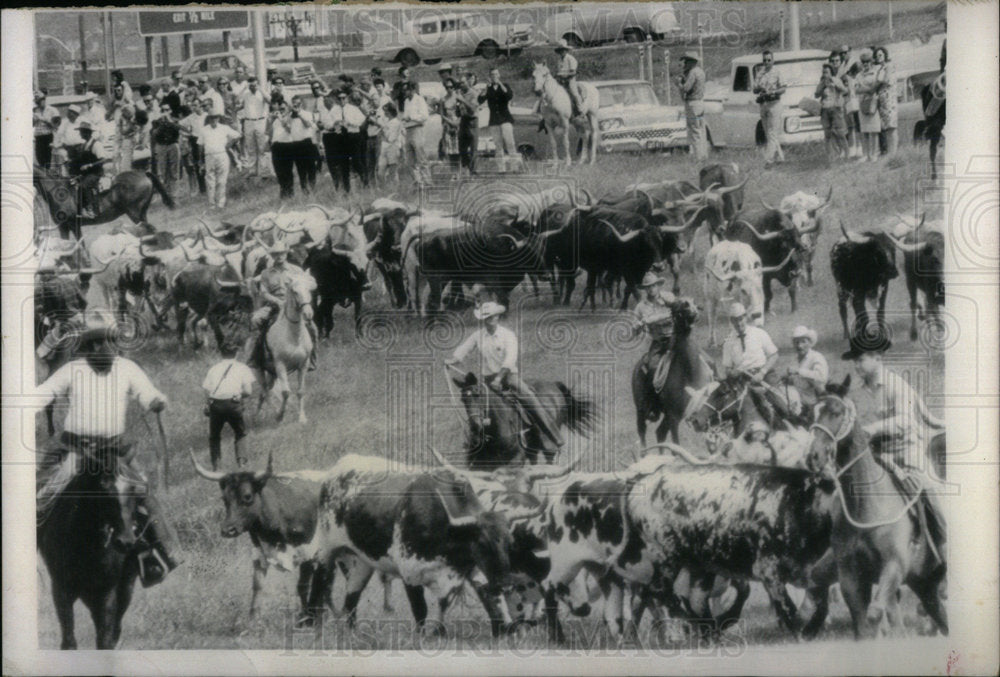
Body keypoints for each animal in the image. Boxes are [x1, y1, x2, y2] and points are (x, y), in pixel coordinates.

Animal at [32, 165, 174, 242]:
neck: (57, 190)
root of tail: (144, 173)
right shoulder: (63, 227)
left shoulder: (73, 225)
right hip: (141, 214)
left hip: (135, 213)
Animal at [36, 446, 144, 648]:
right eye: (103, 487)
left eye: (132, 488)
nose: (126, 541)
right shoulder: (61, 590)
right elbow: (69, 641)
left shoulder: (106, 593)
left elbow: (105, 640)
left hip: (125, 589)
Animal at [254, 274, 316, 422]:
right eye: (295, 291)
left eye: (309, 289)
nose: (308, 314)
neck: (294, 336)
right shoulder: (280, 364)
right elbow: (286, 392)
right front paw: (280, 415)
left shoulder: (303, 365)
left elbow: (300, 391)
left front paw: (302, 418)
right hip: (259, 371)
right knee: (265, 391)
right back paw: (268, 413)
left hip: (272, 373)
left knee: (265, 392)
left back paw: (257, 415)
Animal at [450, 370, 596, 470]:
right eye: (463, 399)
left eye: (479, 395)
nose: (475, 425)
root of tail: (555, 385)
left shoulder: (515, 461)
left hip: (549, 444)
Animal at [800, 378, 948, 636]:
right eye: (811, 414)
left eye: (836, 412)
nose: (813, 456)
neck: (867, 507)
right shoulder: (850, 575)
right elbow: (860, 622)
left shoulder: (893, 566)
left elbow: (875, 613)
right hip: (925, 585)